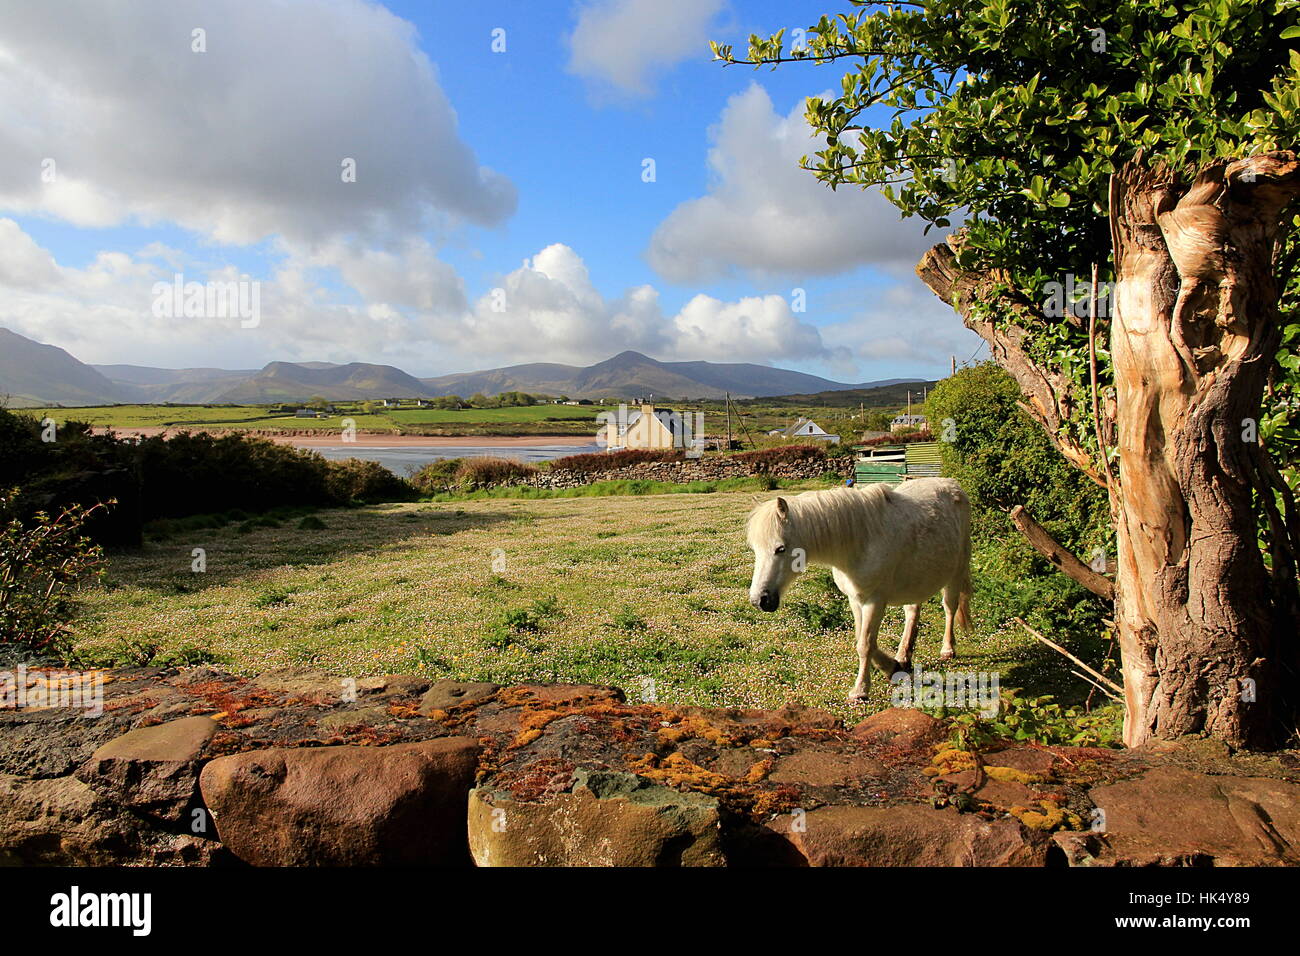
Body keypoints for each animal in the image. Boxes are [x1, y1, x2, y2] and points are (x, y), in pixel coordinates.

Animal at [748, 478, 972, 702]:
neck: (861, 541)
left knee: (950, 608)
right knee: (912, 612)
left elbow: (865, 644)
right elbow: (861, 638)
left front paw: (860, 690)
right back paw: (903, 656)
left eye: (780, 549)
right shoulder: (855, 599)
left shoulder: (875, 601)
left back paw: (947, 649)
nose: (760, 600)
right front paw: (892, 667)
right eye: (755, 549)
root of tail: (952, 485)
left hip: (957, 572)